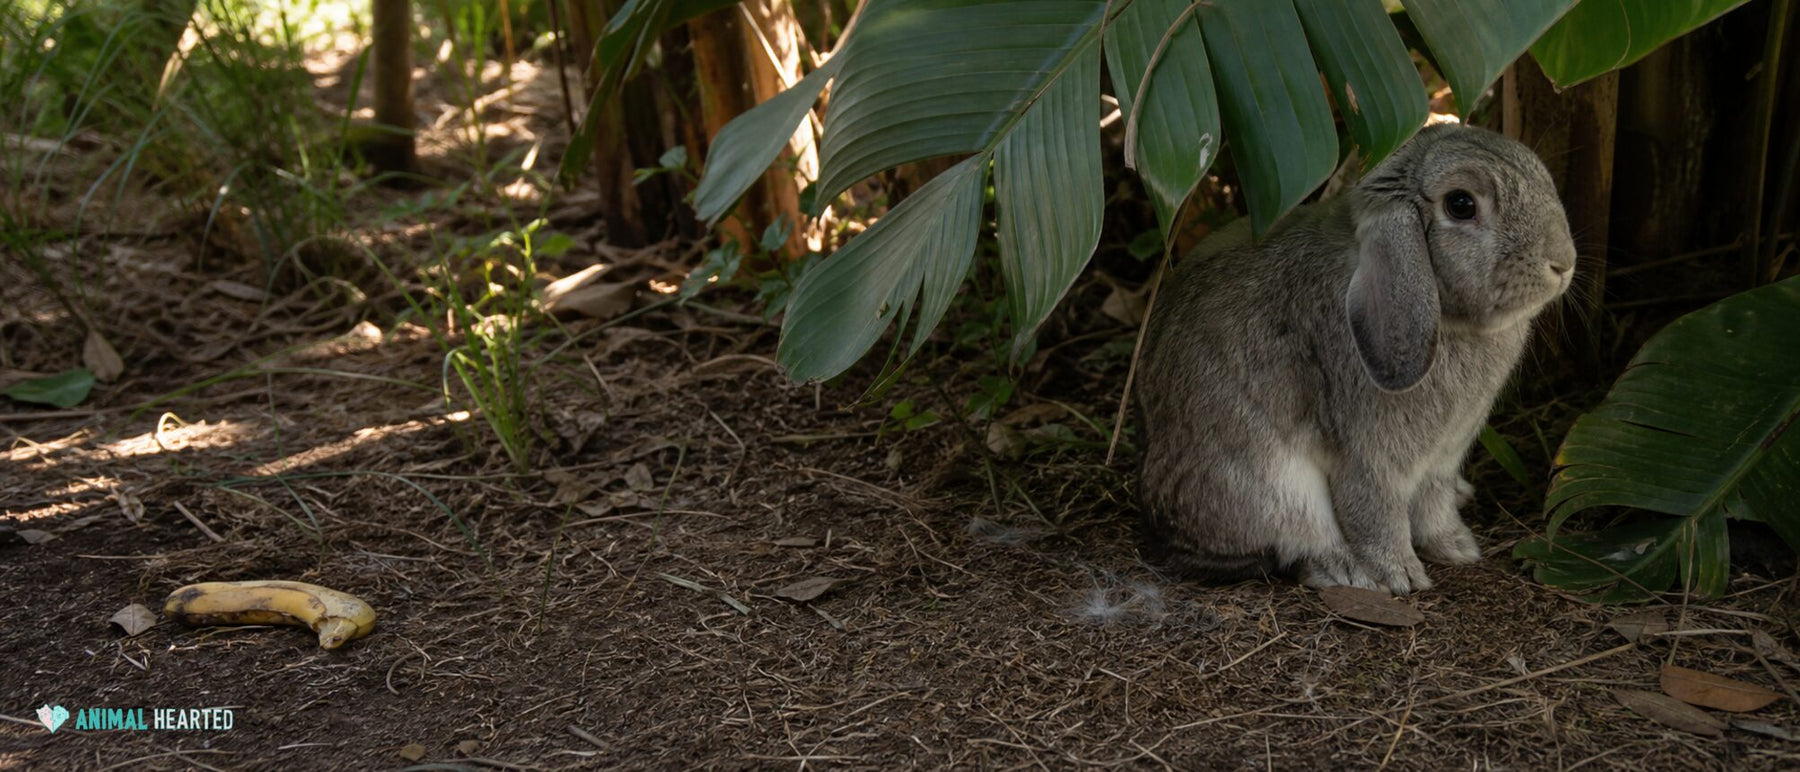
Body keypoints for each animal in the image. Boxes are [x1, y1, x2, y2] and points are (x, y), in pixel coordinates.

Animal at [1134, 124, 1576, 595]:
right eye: (1461, 205)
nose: (1563, 262)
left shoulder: (1442, 460)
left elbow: (1434, 506)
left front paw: (1457, 547)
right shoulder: (1371, 461)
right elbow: (1375, 514)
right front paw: (1402, 575)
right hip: (1273, 485)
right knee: (1302, 540)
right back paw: (1349, 571)